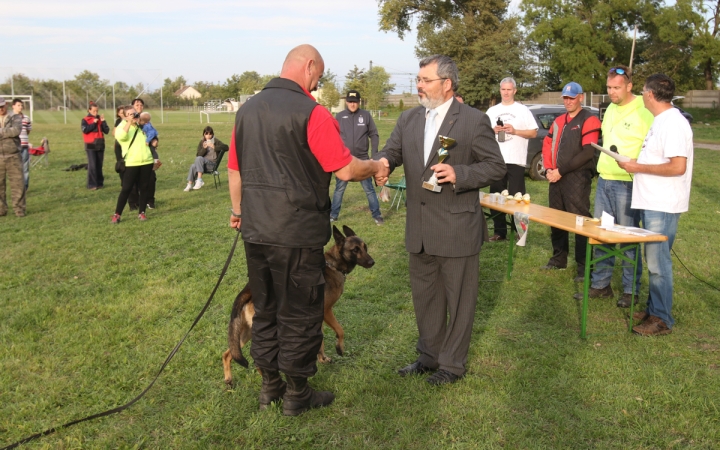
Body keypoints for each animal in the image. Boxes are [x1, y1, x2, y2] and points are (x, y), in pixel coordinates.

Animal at [222, 224, 374, 384]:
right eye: (355, 250)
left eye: (365, 247)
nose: (372, 262)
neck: (333, 264)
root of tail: (247, 291)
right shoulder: (327, 311)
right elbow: (340, 330)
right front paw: (339, 348)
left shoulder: (317, 317)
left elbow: (320, 340)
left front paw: (322, 358)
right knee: (257, 358)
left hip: (247, 332)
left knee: (228, 353)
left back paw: (230, 379)